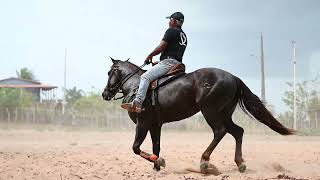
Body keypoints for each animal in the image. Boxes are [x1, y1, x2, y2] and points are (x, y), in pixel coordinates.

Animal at [102, 57, 296, 173]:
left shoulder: (142, 123)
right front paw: (157, 164)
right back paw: (240, 163)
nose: (105, 94)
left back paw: (204, 161)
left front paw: (159, 162)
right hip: (224, 114)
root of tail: (232, 77)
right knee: (237, 131)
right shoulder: (155, 125)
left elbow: (135, 147)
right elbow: (156, 146)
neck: (135, 86)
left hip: (210, 112)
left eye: (110, 72)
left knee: (220, 132)